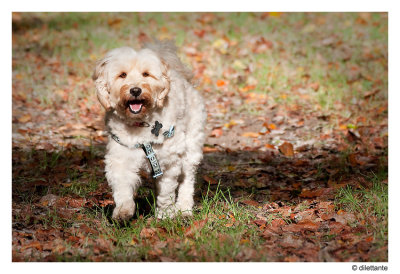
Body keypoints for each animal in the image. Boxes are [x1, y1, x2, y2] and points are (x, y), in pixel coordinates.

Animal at [93, 40, 206, 220]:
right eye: (122, 75)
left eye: (146, 74)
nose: (135, 90)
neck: (141, 124)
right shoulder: (121, 158)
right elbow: (122, 188)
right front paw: (123, 211)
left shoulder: (168, 161)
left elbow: (166, 192)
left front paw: (165, 214)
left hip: (191, 147)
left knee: (187, 180)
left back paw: (184, 208)